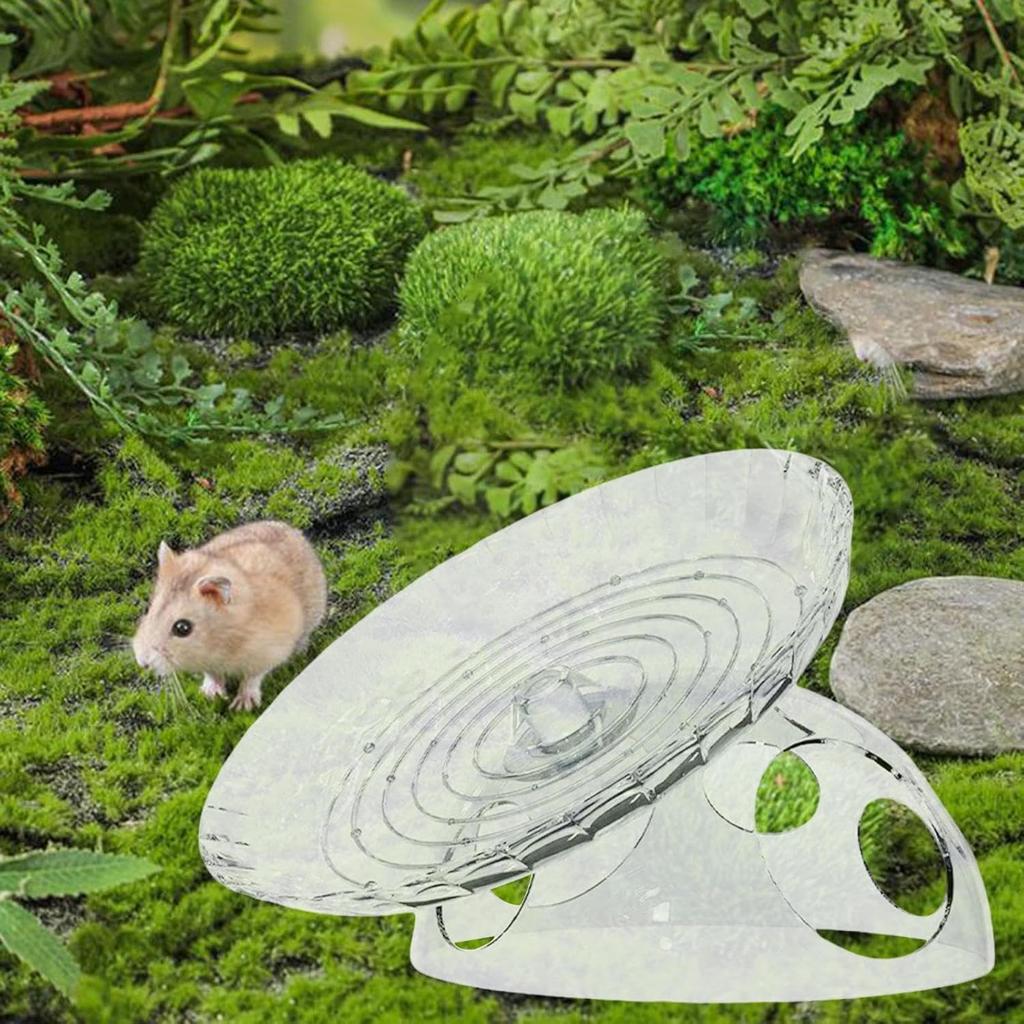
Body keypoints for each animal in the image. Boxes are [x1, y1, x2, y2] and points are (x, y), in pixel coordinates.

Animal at [132, 521, 327, 711]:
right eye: (148, 609)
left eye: (182, 628)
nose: (142, 662)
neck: (219, 641)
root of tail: (293, 531)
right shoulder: (208, 663)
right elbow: (212, 674)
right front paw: (211, 695)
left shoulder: (268, 653)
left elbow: (252, 677)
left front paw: (242, 706)